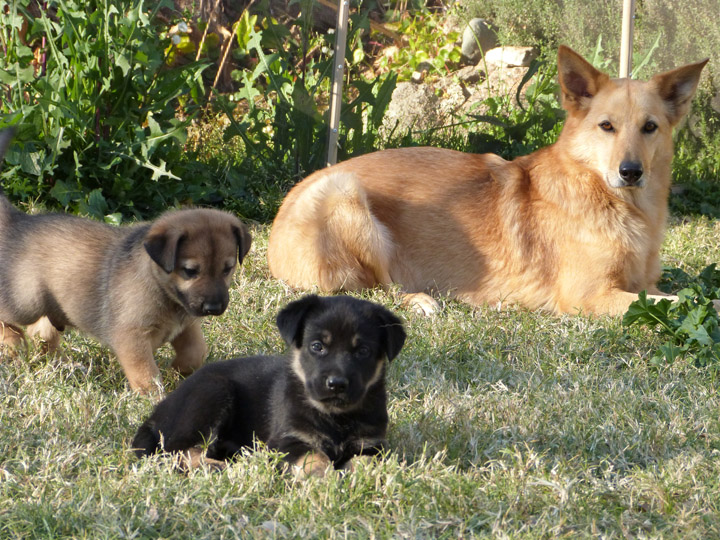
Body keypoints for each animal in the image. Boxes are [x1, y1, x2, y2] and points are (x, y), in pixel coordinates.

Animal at [0, 170, 253, 392]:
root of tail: (18, 221)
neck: (160, 286)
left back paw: (61, 365)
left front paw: (178, 370)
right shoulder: (132, 337)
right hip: (26, 302)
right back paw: (13, 344)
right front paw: (153, 399)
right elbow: (146, 375)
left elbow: (196, 352)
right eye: (190, 271)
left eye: (227, 269)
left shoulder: (186, 326)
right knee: (12, 319)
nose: (214, 308)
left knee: (41, 332)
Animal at [133, 296, 408, 476]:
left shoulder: (372, 445)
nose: (337, 384)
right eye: (317, 346)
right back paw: (217, 467)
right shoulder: (287, 440)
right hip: (212, 392)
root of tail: (157, 413)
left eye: (363, 351)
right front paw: (323, 477)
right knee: (178, 451)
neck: (336, 417)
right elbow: (315, 456)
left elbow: (367, 463)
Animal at [268, 46, 708, 318]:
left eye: (649, 127)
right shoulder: (590, 296)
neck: (619, 205)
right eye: (607, 127)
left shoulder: (642, 284)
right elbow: (679, 303)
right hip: (346, 196)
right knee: (372, 288)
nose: (630, 171)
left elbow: (682, 296)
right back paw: (421, 300)